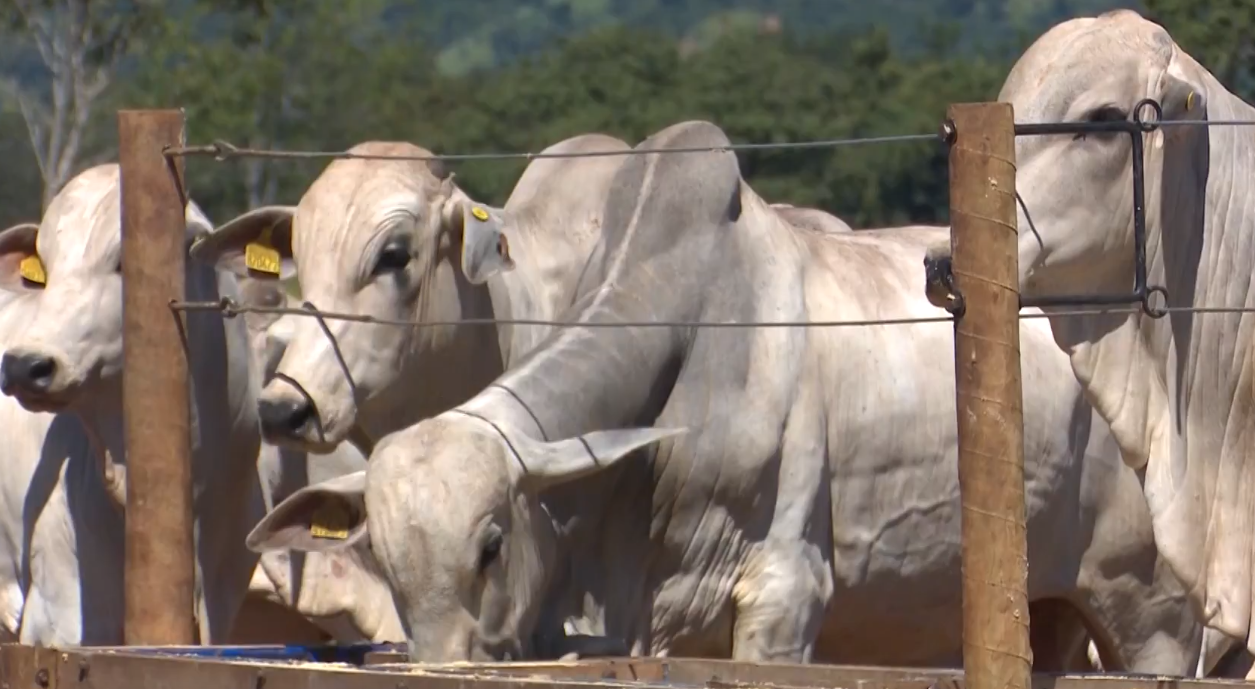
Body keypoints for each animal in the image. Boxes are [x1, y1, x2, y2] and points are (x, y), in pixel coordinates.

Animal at [242, 122, 1204, 672]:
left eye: (489, 544)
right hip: (1045, 611)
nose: (283, 406)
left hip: (1150, 609)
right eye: (384, 562)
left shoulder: (784, 597)